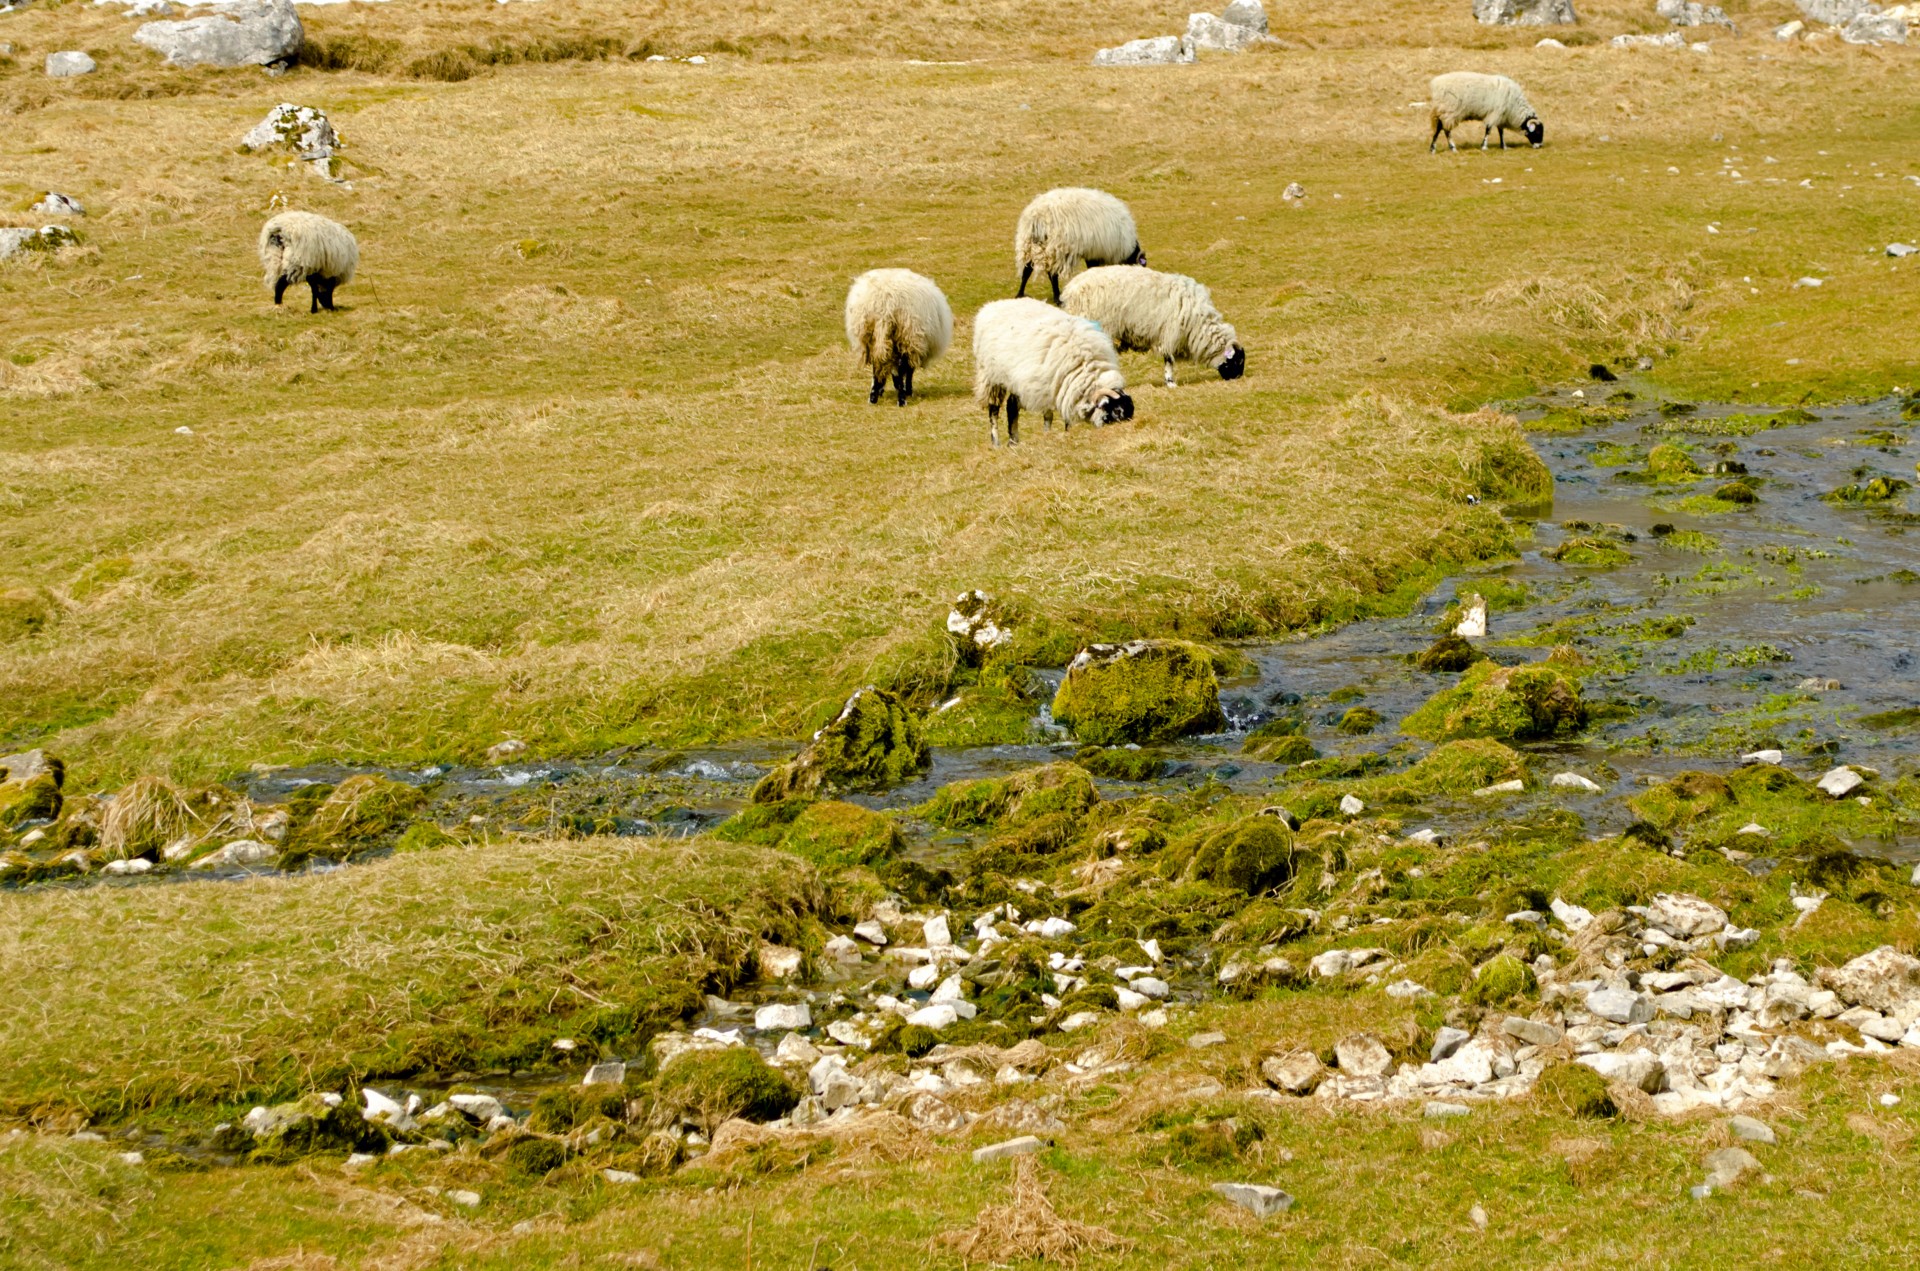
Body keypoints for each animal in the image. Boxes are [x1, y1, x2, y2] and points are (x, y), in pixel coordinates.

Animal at [844, 268, 956, 408]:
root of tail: (885, 305)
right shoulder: (913, 347)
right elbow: (908, 371)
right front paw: (907, 391)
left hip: (873, 336)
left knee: (878, 365)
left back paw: (873, 397)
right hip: (906, 335)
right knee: (900, 368)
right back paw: (901, 399)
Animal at [967, 301, 1128, 451]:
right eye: (1115, 412)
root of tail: (992, 305)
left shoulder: (1058, 386)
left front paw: (1057, 433)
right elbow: (1049, 415)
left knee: (1011, 406)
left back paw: (1013, 441)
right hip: (992, 377)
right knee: (995, 410)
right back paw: (998, 442)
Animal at [1067, 266, 1244, 387]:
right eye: (1237, 361)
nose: (1238, 378)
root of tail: (1072, 288)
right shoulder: (1169, 333)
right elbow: (1169, 360)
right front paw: (1171, 382)